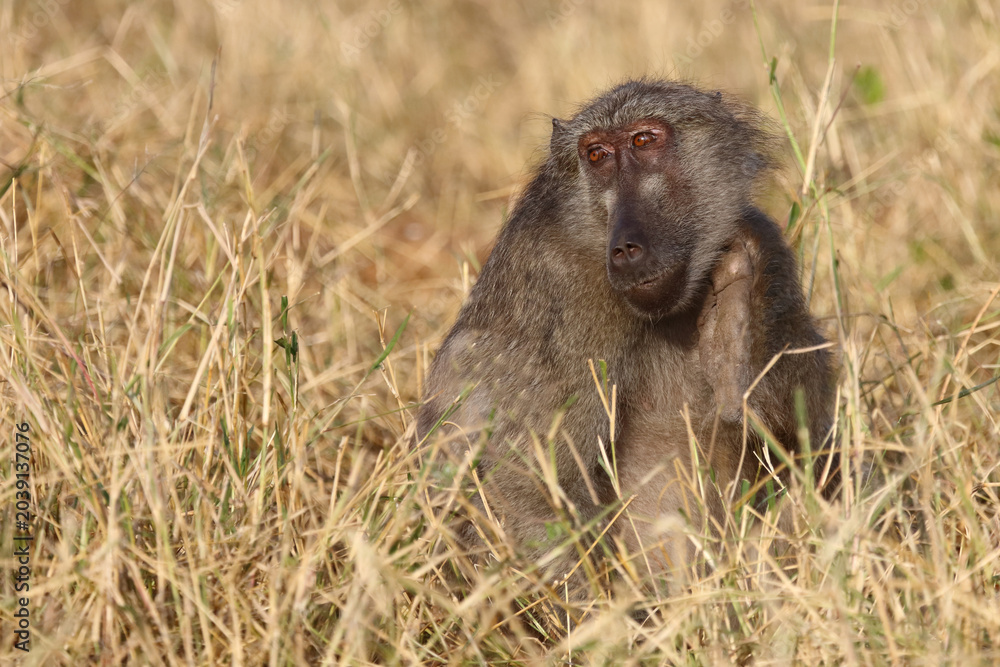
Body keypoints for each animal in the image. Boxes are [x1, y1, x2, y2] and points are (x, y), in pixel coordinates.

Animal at [417, 79, 835, 594]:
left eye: (643, 141)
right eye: (596, 155)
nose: (626, 248)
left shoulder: (762, 237)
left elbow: (800, 434)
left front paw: (733, 311)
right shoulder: (559, 285)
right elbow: (524, 470)